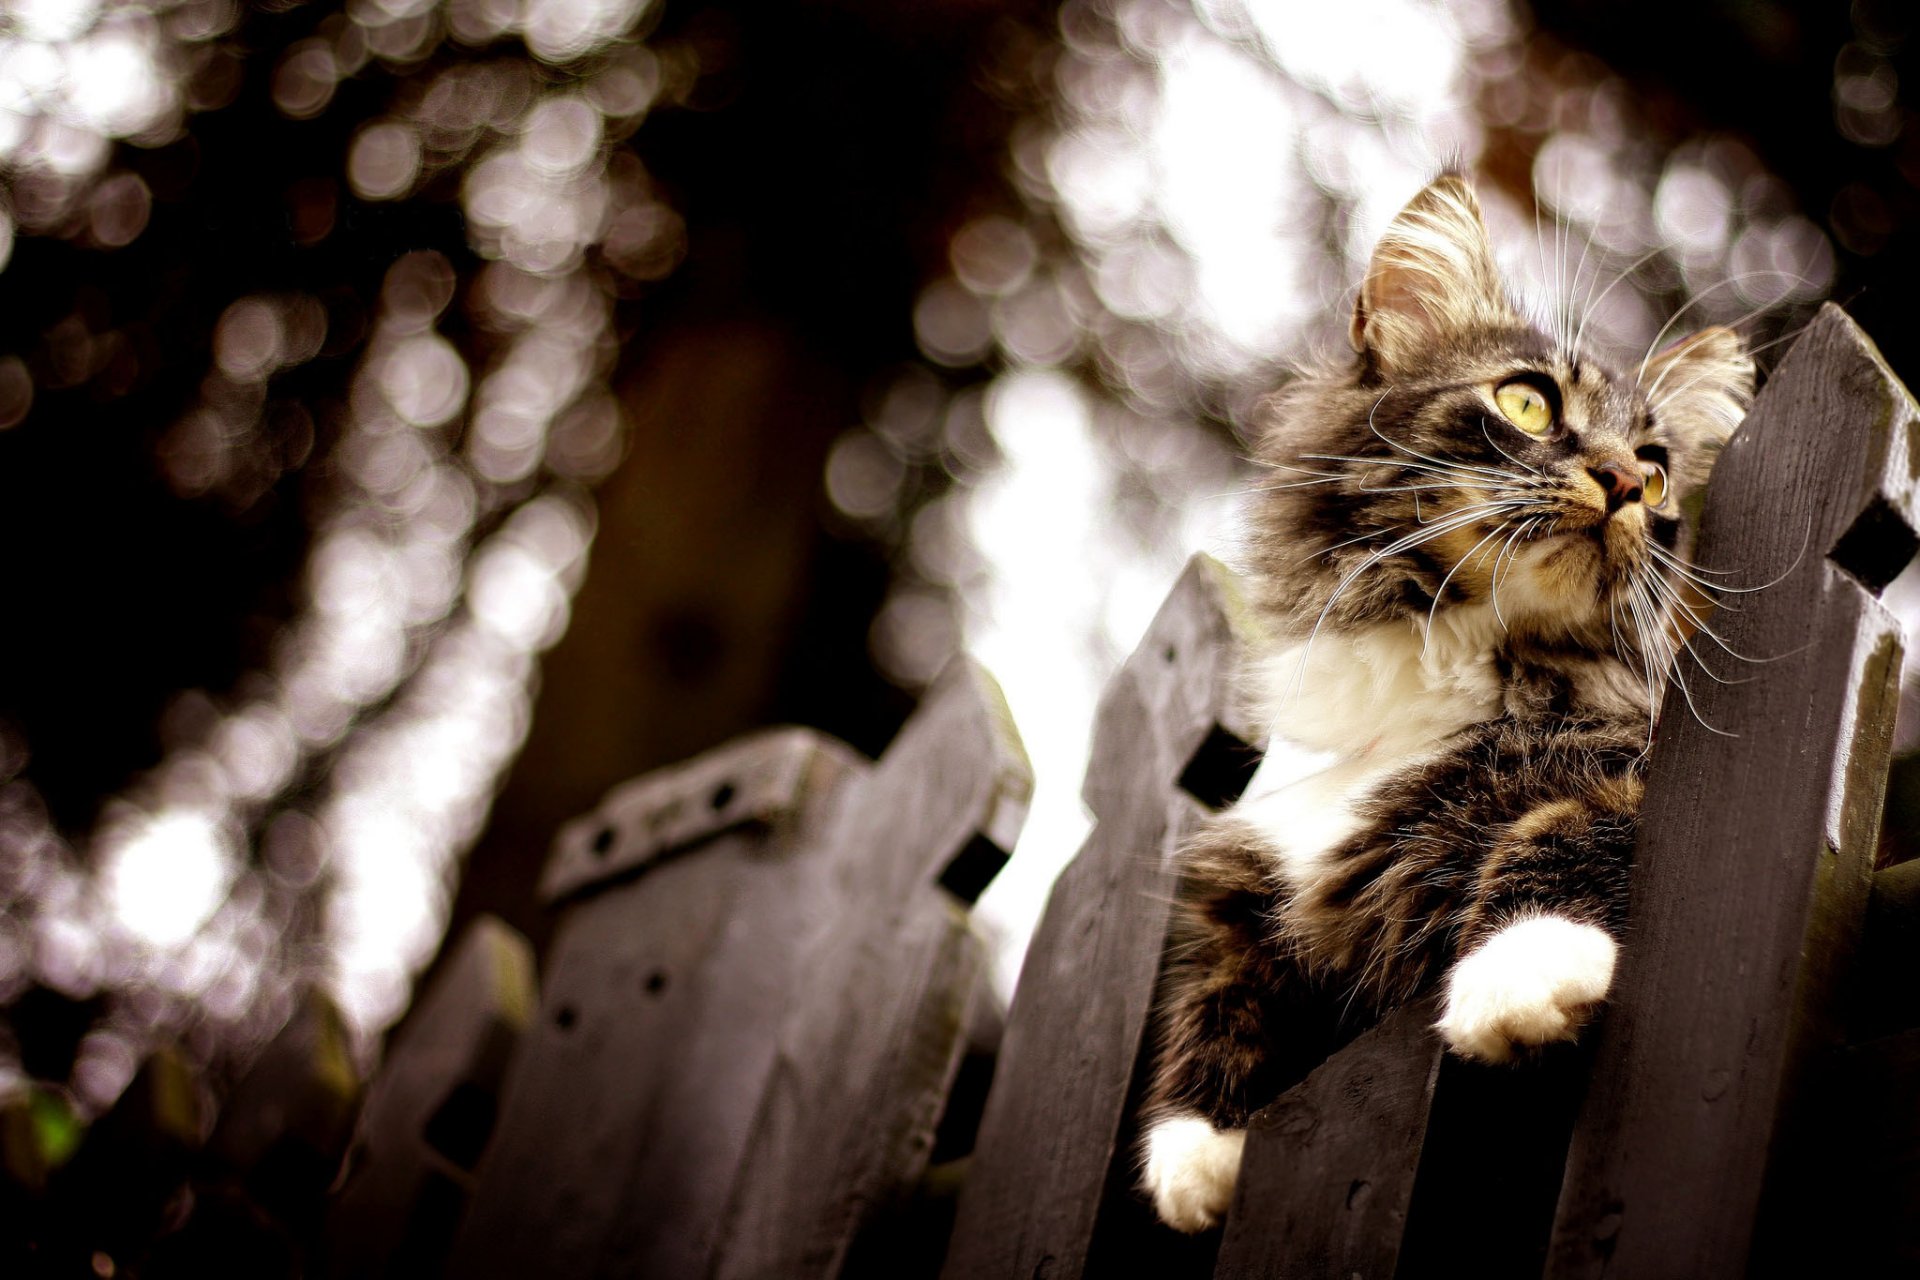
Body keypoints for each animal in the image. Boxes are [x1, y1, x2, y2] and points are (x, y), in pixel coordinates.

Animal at [1136, 175, 1758, 1235]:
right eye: (1527, 400)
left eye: (1657, 469)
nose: (1624, 483)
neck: (1447, 669)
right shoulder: (1255, 865)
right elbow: (1222, 982)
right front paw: (1199, 1148)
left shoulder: (1639, 772)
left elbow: (1562, 825)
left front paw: (1520, 970)